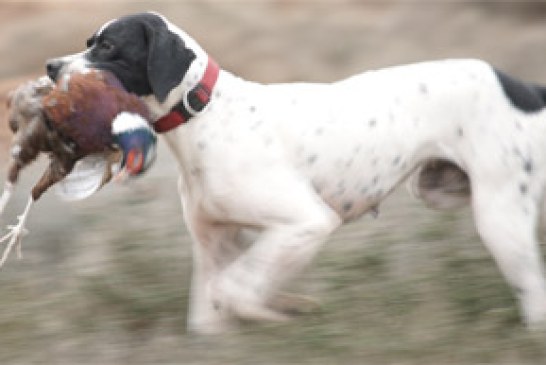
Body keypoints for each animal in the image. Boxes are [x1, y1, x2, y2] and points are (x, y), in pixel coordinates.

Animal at [45, 12, 544, 332]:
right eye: (89, 41)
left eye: (109, 46)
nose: (50, 66)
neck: (207, 115)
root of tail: (520, 85)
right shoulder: (213, 242)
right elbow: (212, 310)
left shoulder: (306, 222)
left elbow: (238, 289)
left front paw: (287, 311)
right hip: (442, 191)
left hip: (500, 221)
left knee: (535, 300)